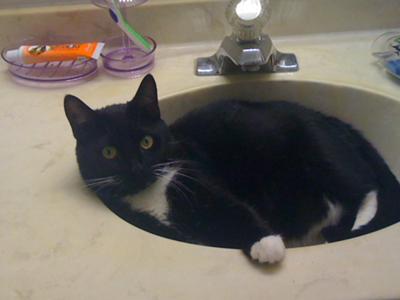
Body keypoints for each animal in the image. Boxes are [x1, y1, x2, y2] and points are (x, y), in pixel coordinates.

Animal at [65, 74, 400, 262]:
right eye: (108, 152)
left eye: (147, 142)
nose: (136, 168)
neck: (151, 194)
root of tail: (335, 122)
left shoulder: (195, 177)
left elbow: (233, 210)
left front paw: (268, 246)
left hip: (318, 147)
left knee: (364, 185)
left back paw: (357, 223)